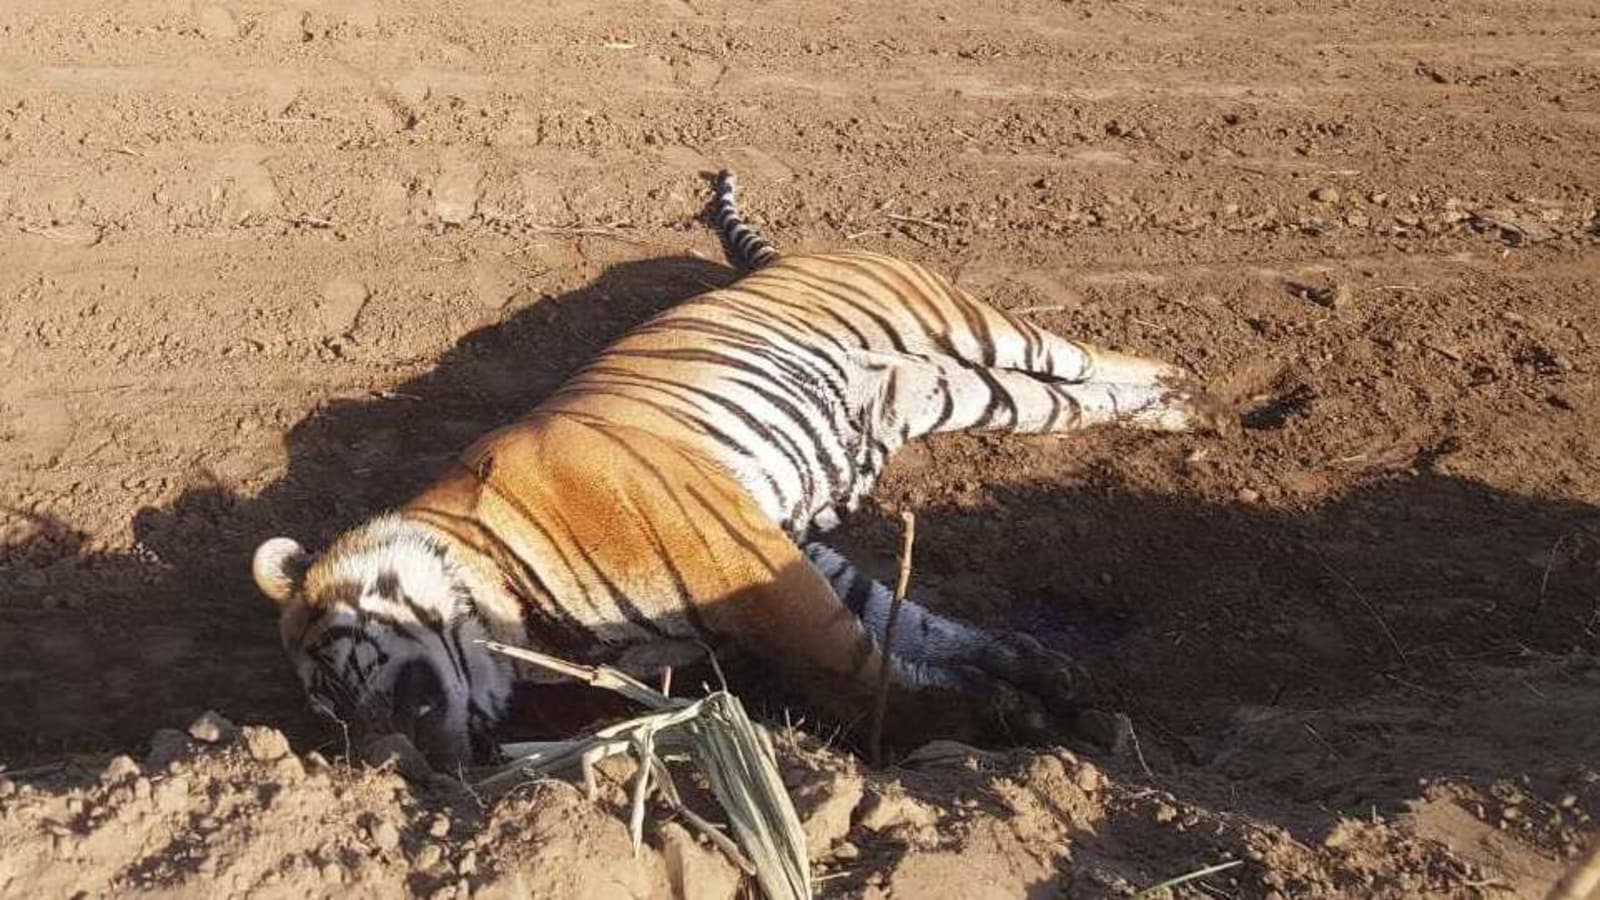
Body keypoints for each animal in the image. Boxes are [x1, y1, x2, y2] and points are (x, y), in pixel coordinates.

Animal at [256, 171, 1216, 768]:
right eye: (324, 720)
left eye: (334, 684)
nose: (392, 770)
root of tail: (797, 255)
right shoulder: (789, 550)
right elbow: (913, 625)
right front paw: (1035, 672)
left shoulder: (753, 568)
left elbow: (856, 669)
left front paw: (989, 721)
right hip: (961, 391)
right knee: (1066, 396)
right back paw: (1166, 406)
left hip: (971, 328)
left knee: (1082, 354)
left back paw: (1177, 385)